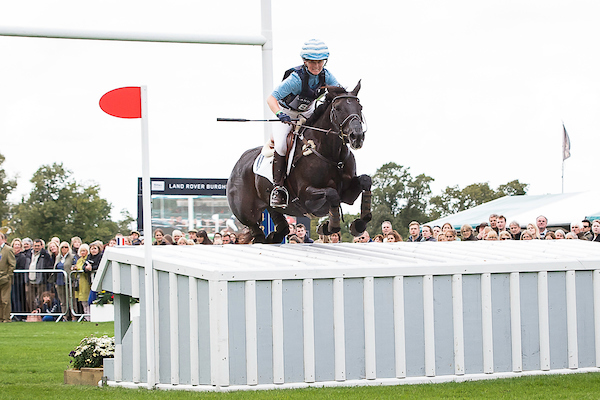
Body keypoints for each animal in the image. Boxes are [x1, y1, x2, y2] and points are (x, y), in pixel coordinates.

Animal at [229, 82, 372, 244]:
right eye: (337, 108)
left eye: (360, 107)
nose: (357, 136)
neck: (332, 155)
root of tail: (238, 164)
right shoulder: (306, 196)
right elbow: (332, 193)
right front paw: (329, 226)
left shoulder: (347, 194)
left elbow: (366, 181)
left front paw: (358, 224)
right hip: (245, 211)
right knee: (254, 227)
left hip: (271, 205)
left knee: (279, 221)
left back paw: (275, 236)